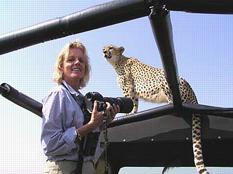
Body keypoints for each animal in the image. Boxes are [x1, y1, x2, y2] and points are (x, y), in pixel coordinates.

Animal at [102, 44, 209, 174]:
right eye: (104, 48)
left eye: (111, 48)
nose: (104, 51)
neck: (118, 61)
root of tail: (192, 92)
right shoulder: (133, 91)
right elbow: (135, 103)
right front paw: (133, 112)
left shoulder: (128, 88)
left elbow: (130, 101)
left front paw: (129, 113)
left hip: (165, 80)